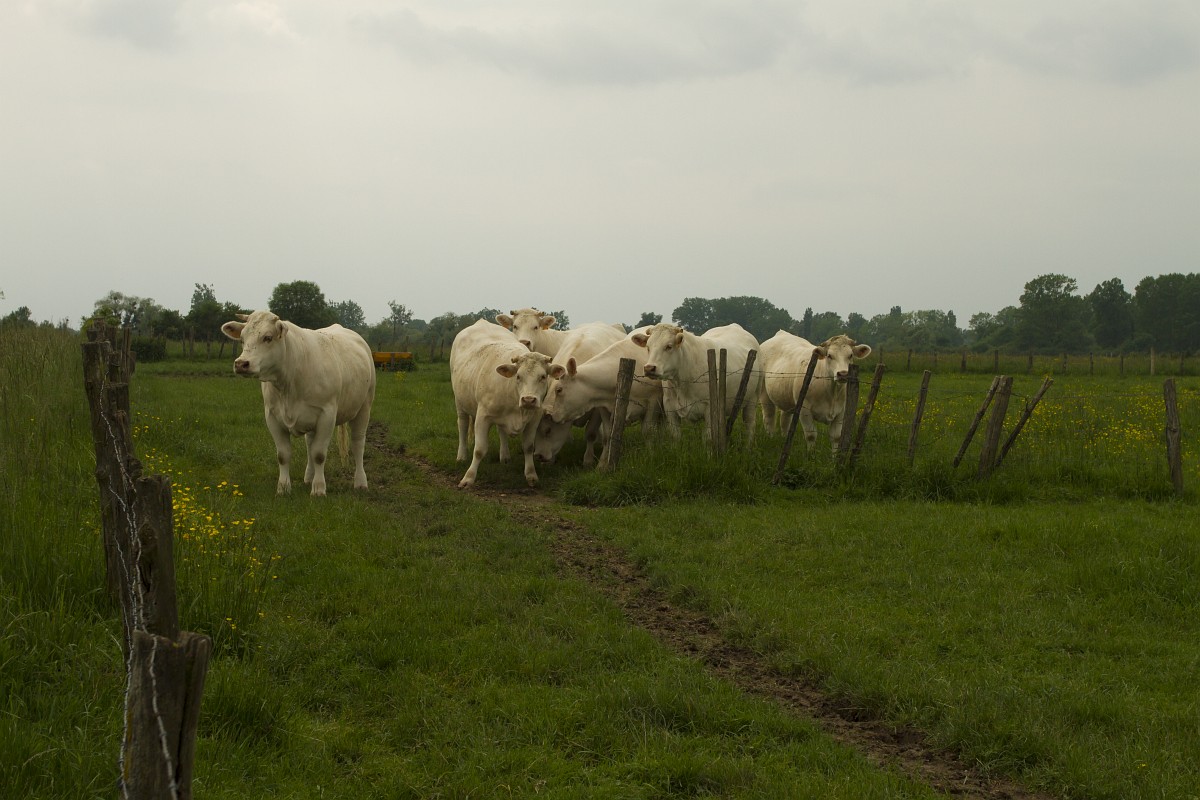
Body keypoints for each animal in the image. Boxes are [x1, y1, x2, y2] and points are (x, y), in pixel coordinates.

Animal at [221, 310, 375, 496]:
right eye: (242, 339)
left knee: (358, 443)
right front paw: (283, 488)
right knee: (310, 443)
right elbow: (284, 454)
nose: (241, 364)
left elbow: (319, 454)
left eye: (268, 337)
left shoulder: (327, 415)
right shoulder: (272, 416)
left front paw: (318, 489)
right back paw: (308, 477)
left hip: (364, 407)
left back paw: (360, 482)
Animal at [450, 319, 562, 488]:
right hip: (460, 402)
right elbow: (479, 450)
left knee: (501, 430)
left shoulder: (534, 418)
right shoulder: (482, 416)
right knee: (462, 425)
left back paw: (505, 456)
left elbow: (528, 447)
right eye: (518, 376)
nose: (528, 400)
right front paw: (468, 478)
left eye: (543, 376)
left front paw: (531, 475)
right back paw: (462, 456)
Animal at [632, 323, 761, 444]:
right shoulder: (670, 409)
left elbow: (709, 439)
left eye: (669, 346)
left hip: (753, 398)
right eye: (648, 347)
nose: (649, 368)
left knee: (750, 424)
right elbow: (675, 436)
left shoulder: (710, 409)